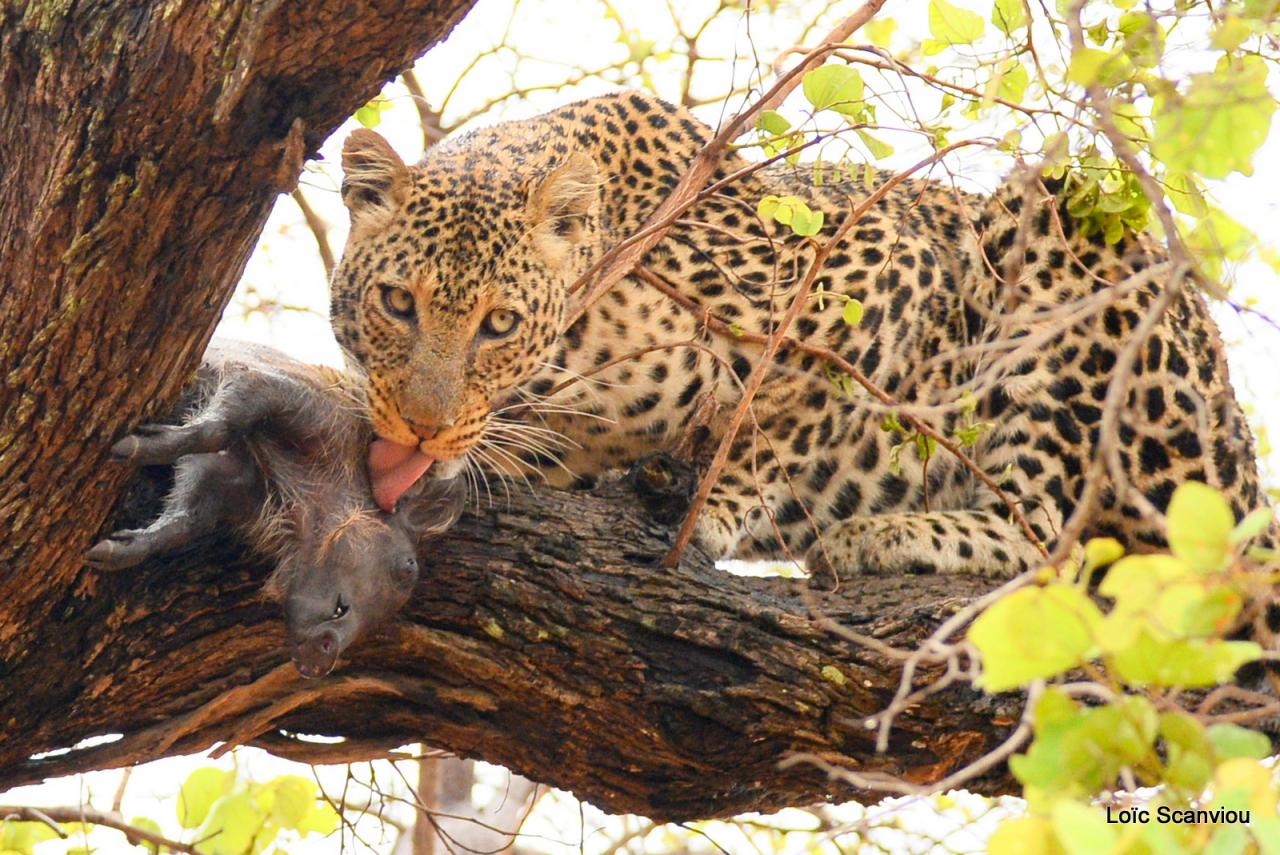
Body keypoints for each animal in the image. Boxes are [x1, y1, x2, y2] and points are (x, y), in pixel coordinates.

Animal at [322, 88, 1269, 581]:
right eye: (398, 304)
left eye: (500, 323)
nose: (423, 427)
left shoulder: (880, 267)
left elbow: (778, 419)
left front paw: (710, 509)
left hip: (1064, 233)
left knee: (1056, 539)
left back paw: (879, 538)